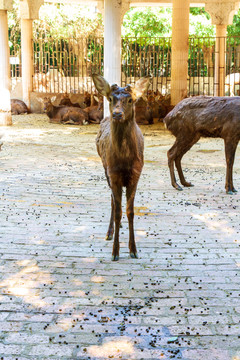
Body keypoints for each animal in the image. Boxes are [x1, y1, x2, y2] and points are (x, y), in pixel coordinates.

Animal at [93, 74, 151, 260]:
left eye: (131, 99)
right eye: (111, 98)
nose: (117, 114)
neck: (125, 160)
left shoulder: (136, 175)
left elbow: (130, 212)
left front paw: (133, 250)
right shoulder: (114, 175)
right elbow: (118, 211)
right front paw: (115, 252)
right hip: (105, 169)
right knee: (112, 202)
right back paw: (109, 232)